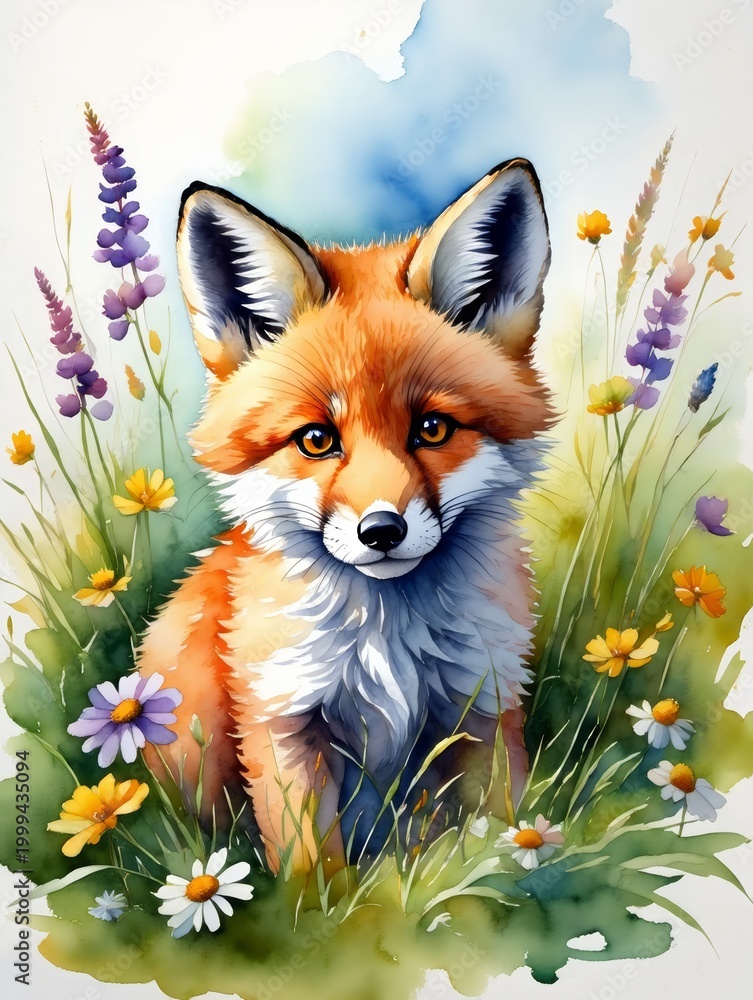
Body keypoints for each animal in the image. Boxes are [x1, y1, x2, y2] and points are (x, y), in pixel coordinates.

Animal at [137, 157, 554, 875]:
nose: (382, 531)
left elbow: (502, 828)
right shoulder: (282, 720)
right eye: (315, 439)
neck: (389, 644)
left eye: (432, 428)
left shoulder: (483, 705)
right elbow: (312, 871)